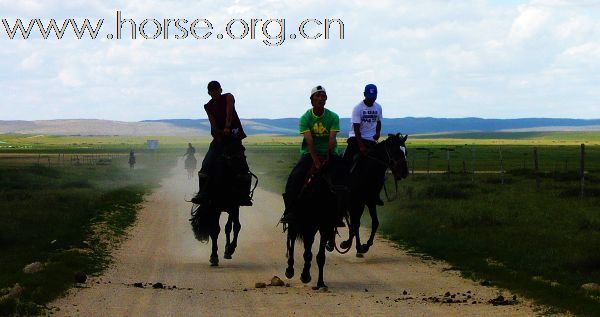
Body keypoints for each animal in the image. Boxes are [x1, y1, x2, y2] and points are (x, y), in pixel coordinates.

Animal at [284, 157, 350, 288]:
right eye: (331, 173)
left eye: (346, 173)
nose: (341, 190)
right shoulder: (309, 226)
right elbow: (307, 252)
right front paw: (305, 276)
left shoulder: (325, 226)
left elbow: (320, 256)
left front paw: (320, 283)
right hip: (295, 224)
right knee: (292, 241)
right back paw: (289, 270)